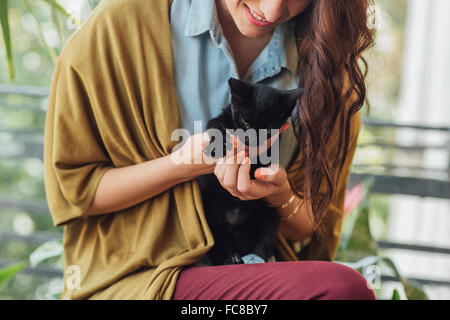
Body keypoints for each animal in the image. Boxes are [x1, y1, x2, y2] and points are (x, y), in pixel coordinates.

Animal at [199, 78, 304, 264]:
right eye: (245, 121)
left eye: (268, 130)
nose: (250, 139)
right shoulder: (221, 117)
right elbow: (215, 125)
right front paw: (216, 147)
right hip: (212, 222)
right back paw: (230, 259)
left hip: (269, 216)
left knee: (264, 243)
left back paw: (253, 259)